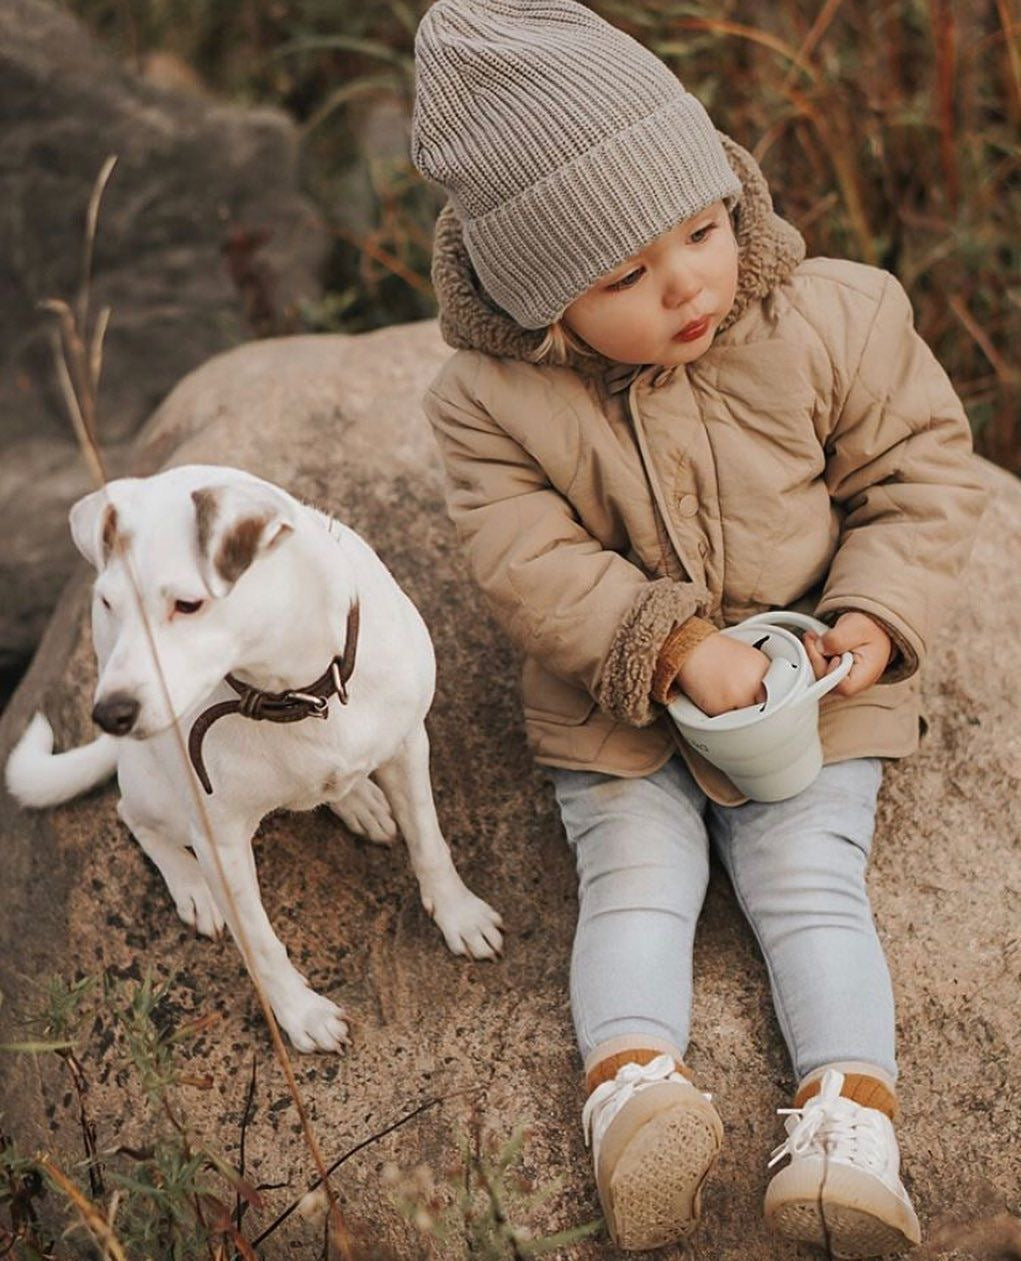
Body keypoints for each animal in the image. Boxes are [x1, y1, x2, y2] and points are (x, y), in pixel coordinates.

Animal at [7, 464, 501, 1054]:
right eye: (108, 604)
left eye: (188, 604)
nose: (109, 713)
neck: (293, 693)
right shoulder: (220, 842)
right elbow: (261, 944)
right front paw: (300, 1014)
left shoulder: (408, 746)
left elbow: (429, 843)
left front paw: (458, 913)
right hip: (158, 790)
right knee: (131, 815)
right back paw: (192, 887)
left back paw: (360, 799)